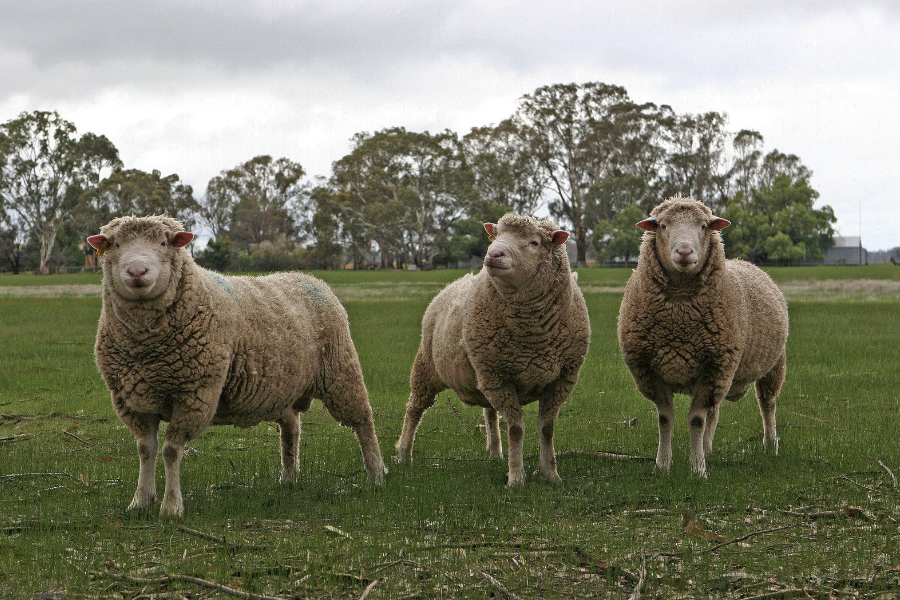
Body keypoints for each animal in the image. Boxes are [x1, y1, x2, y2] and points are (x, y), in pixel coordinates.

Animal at [88, 214, 386, 516]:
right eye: (115, 244)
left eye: (163, 242)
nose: (137, 272)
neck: (146, 347)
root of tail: (307, 277)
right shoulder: (133, 399)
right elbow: (145, 449)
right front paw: (140, 501)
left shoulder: (194, 394)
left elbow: (171, 451)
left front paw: (171, 506)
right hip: (284, 387)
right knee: (291, 427)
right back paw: (289, 477)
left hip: (341, 371)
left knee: (363, 422)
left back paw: (376, 475)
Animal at [394, 213, 592, 486]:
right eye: (495, 236)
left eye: (534, 242)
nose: (493, 254)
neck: (534, 336)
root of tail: (455, 282)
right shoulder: (500, 377)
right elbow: (516, 429)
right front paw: (516, 478)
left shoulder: (560, 379)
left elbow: (547, 429)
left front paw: (551, 474)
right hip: (428, 367)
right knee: (414, 408)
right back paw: (404, 453)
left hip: (482, 372)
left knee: (489, 413)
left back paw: (496, 452)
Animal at [620, 197, 788, 478]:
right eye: (663, 225)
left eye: (703, 226)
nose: (684, 252)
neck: (678, 319)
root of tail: (745, 262)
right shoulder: (653, 371)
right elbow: (665, 419)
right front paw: (662, 465)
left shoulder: (712, 368)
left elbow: (696, 420)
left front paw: (697, 469)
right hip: (724, 374)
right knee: (715, 412)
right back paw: (708, 448)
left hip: (771, 365)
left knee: (768, 404)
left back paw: (771, 444)